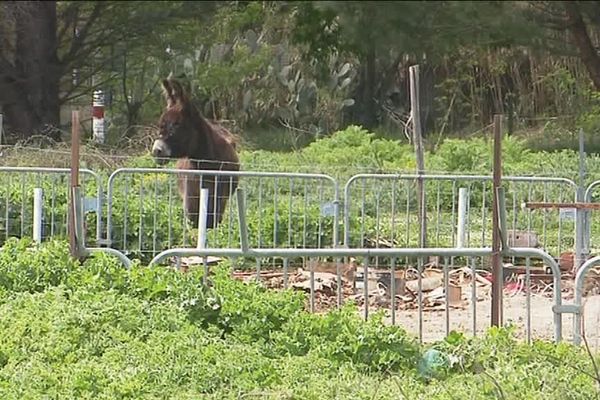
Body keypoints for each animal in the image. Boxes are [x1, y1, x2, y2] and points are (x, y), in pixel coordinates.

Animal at [151, 77, 240, 231]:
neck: (207, 165)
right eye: (160, 124)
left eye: (177, 124)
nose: (156, 151)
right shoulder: (191, 201)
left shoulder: (219, 201)